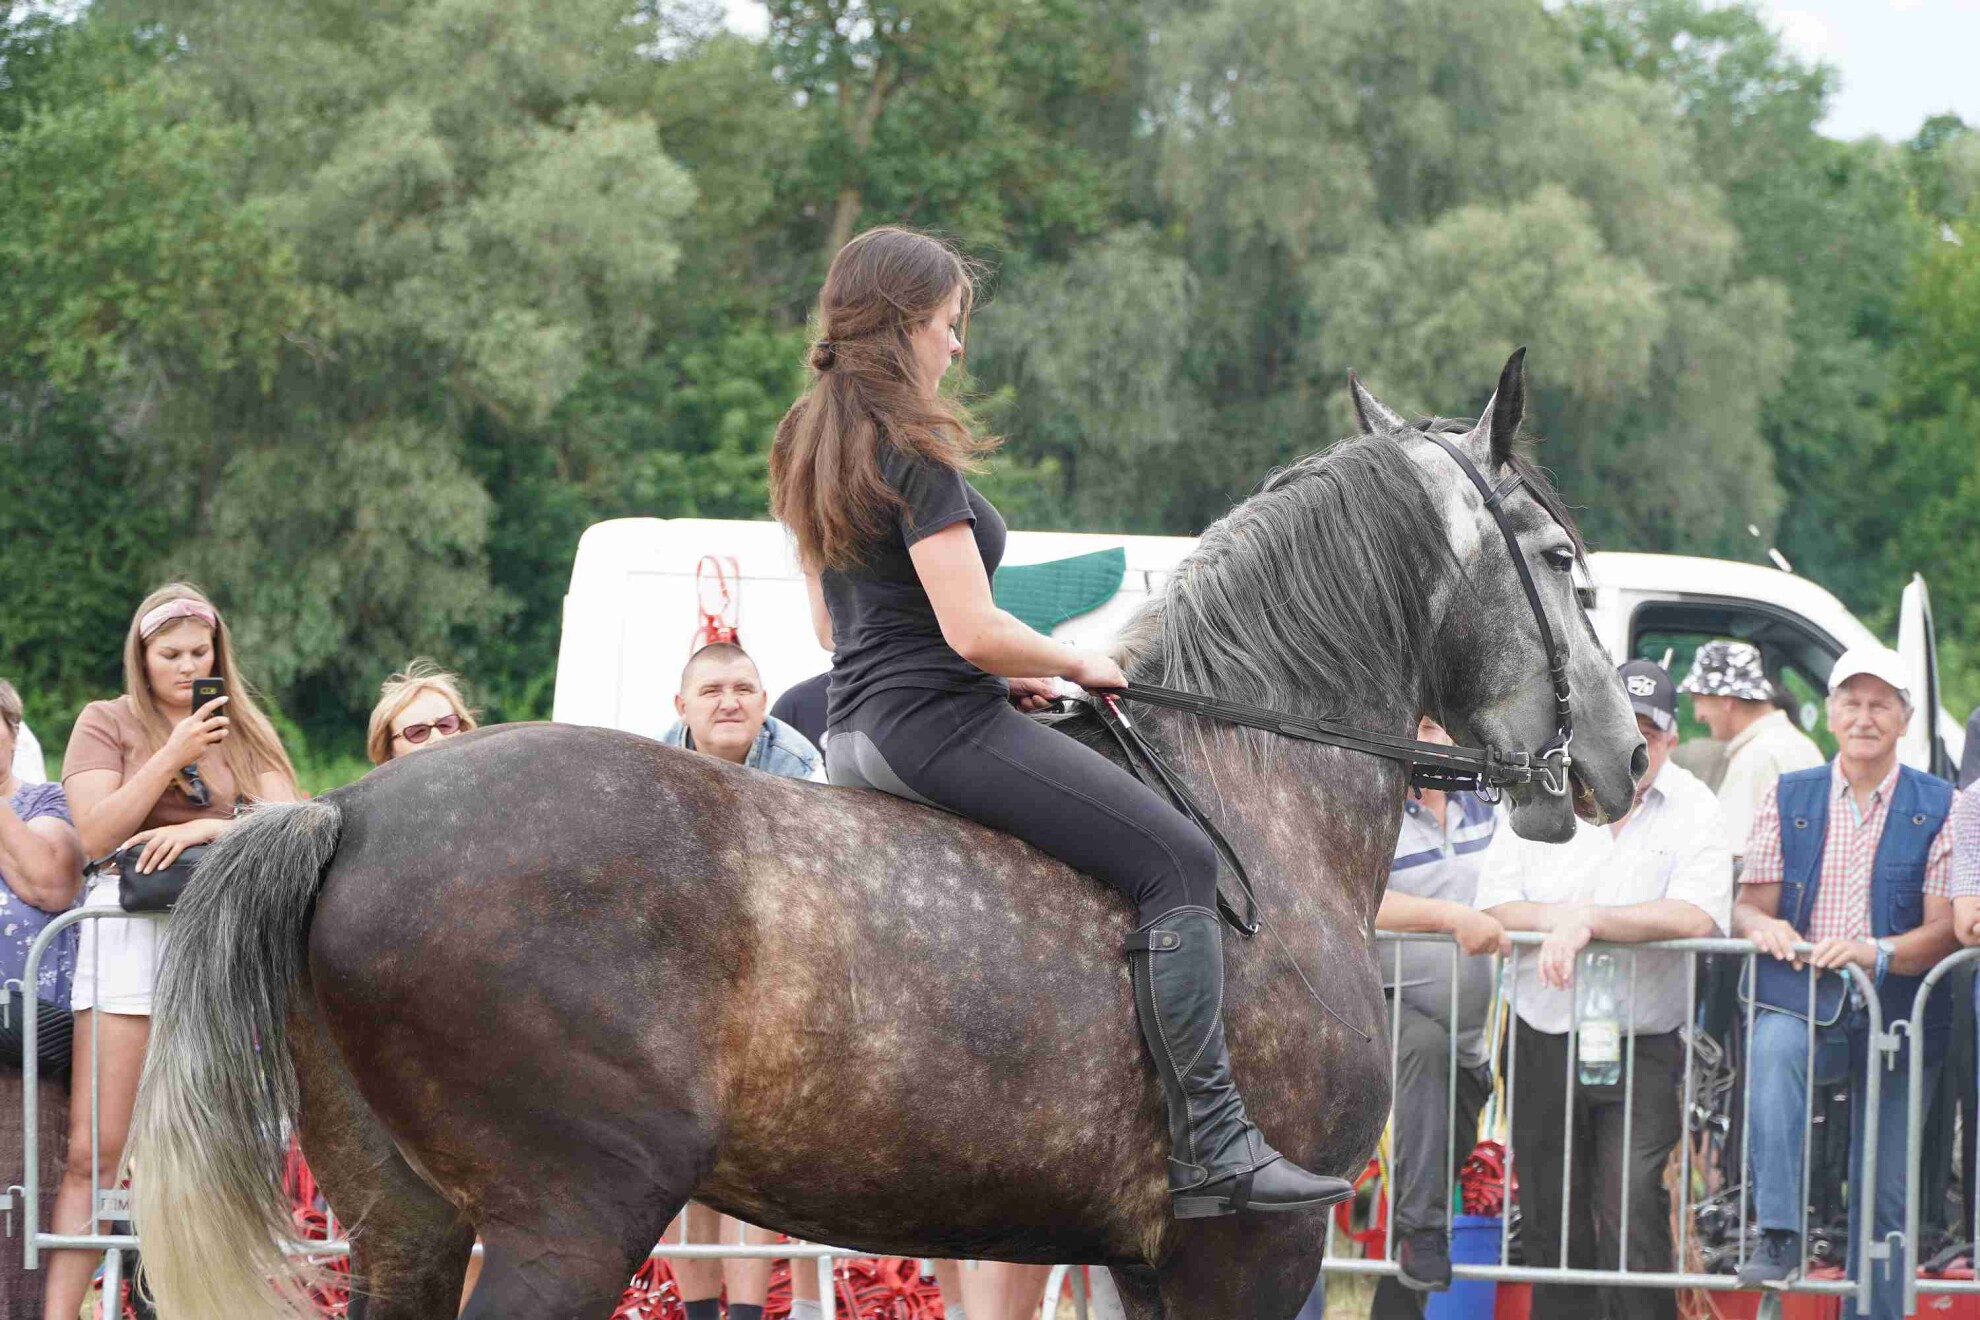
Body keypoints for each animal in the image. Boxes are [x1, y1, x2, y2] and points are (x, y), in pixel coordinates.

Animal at [127, 351, 1645, 1319]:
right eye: (1563, 562)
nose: (1629, 759)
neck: (1255, 789)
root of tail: (340, 811)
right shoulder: (1254, 1248)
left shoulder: (1145, 1262)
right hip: (575, 1211)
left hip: (408, 1219)